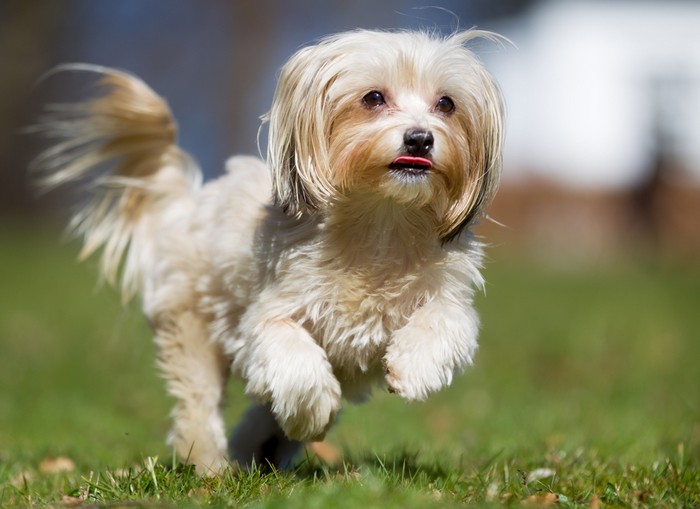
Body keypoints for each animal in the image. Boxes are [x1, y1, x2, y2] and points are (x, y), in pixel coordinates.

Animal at [34, 27, 504, 472]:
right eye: (373, 97)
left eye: (446, 104)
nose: (420, 138)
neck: (381, 224)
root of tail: (189, 206)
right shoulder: (267, 318)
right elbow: (293, 361)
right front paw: (315, 410)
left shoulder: (447, 293)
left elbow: (446, 321)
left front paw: (414, 367)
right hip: (192, 327)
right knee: (200, 403)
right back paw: (212, 465)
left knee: (262, 413)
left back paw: (259, 448)